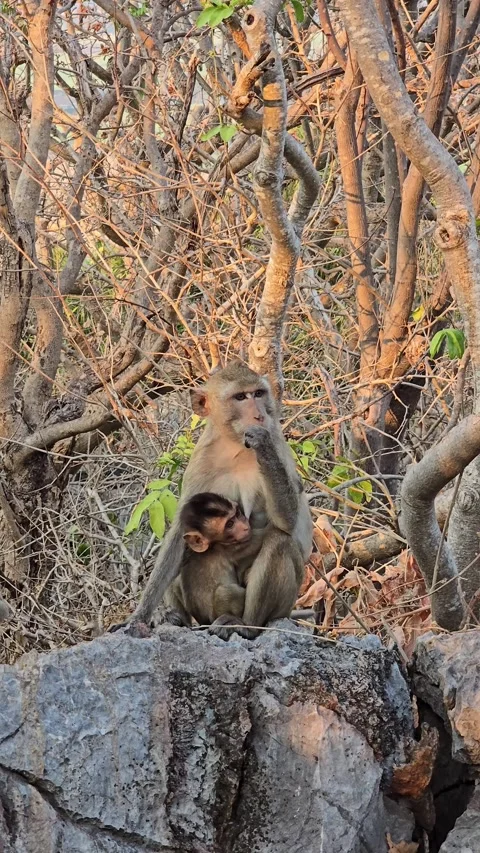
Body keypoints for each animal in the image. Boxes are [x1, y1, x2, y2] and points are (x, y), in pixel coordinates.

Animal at [163, 492, 252, 632]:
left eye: (237, 513)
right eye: (230, 524)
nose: (245, 527)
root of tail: (205, 622)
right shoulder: (232, 549)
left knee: (174, 582)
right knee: (226, 592)